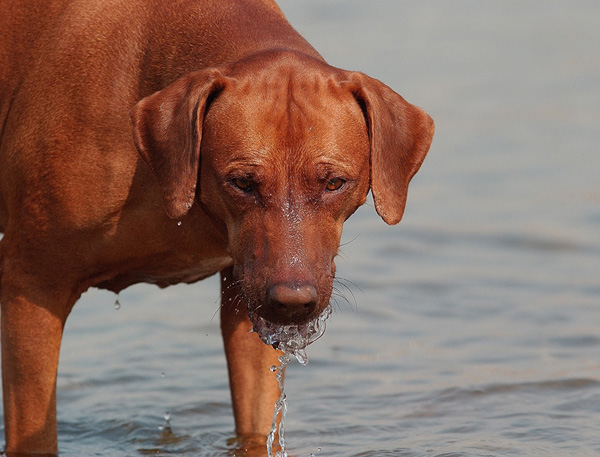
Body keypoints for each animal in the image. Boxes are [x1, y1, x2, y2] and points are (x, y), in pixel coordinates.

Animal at [0, 0, 432, 452]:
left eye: (334, 183)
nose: (293, 302)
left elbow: (256, 422)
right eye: (241, 182)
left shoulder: (248, 300)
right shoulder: (32, 286)